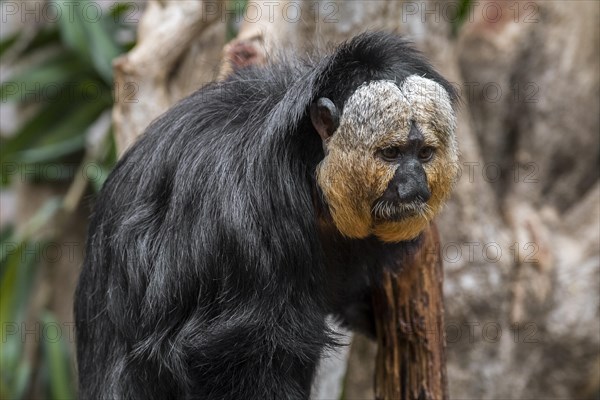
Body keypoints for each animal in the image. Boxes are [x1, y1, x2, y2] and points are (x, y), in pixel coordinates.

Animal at [75, 32, 460, 400]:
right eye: (391, 153)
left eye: (424, 153)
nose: (413, 186)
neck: (310, 171)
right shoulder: (253, 209)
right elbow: (232, 352)